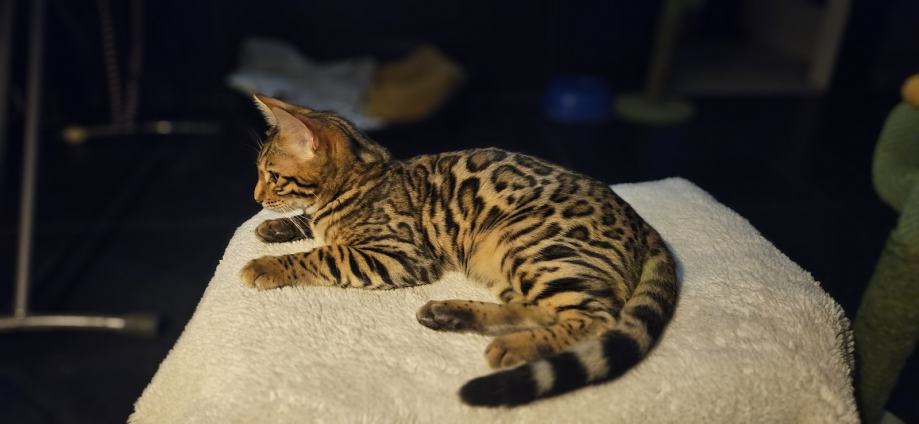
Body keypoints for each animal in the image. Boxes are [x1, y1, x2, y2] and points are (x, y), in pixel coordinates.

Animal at [241, 94, 679, 407]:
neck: (363, 177)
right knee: (540, 308)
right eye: (261, 174)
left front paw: (267, 265)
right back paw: (448, 313)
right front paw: (276, 226)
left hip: (528, 243)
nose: (256, 196)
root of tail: (641, 222)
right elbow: (311, 227)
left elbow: (325, 253)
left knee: (596, 317)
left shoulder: (399, 255)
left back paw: (512, 346)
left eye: (273, 176)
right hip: (503, 259)